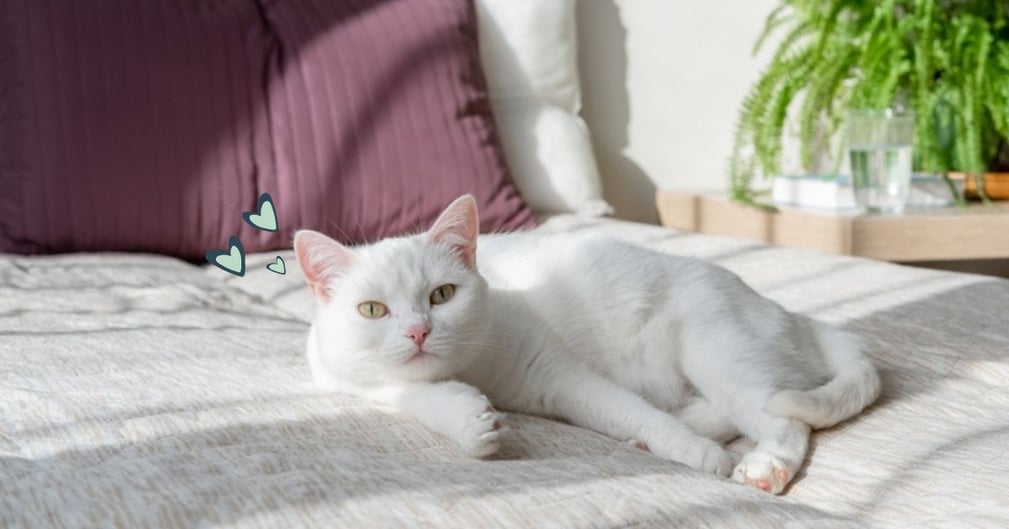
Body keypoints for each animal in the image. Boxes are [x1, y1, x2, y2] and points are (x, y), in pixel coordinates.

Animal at [294, 195, 879, 494]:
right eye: (373, 310)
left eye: (442, 295)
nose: (418, 331)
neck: (472, 367)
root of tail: (797, 317)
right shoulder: (368, 386)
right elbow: (422, 398)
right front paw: (473, 425)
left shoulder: (558, 374)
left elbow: (630, 409)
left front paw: (696, 455)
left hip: (716, 350)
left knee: (784, 419)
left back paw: (758, 465)